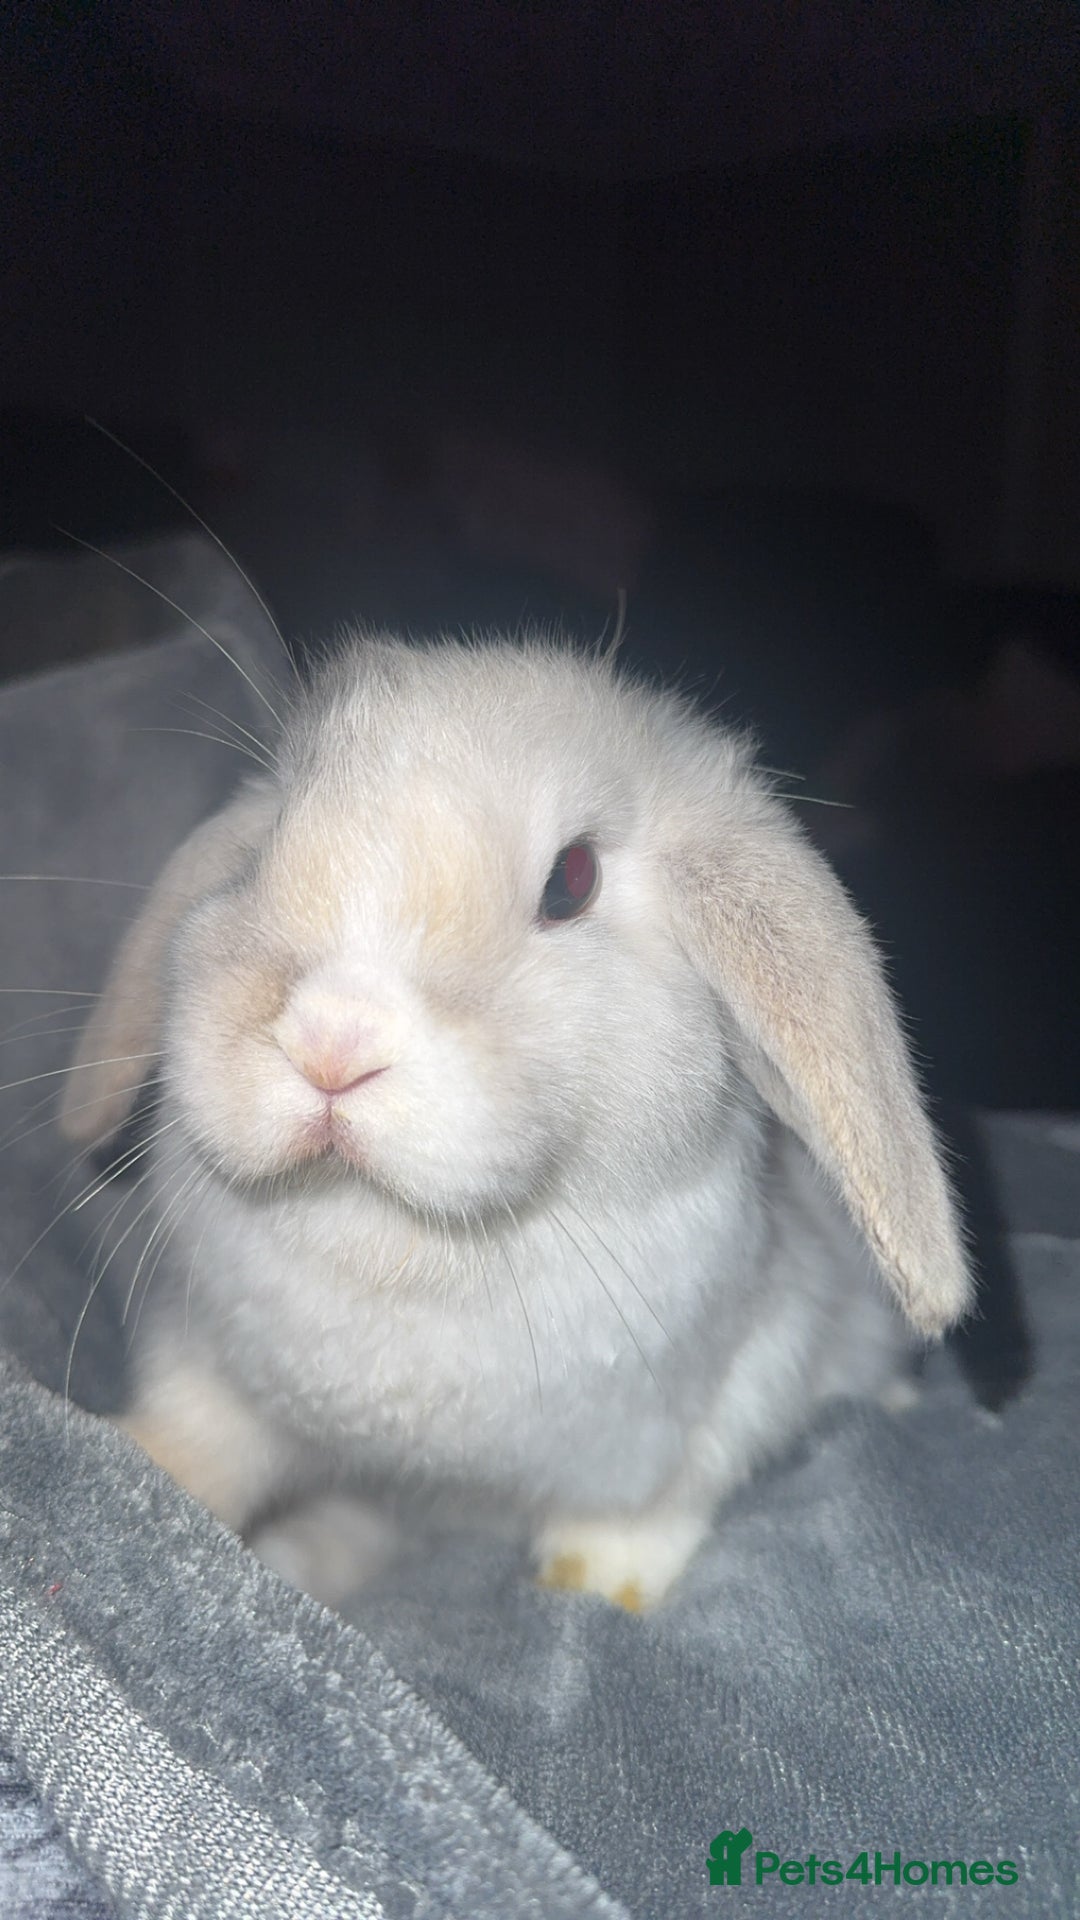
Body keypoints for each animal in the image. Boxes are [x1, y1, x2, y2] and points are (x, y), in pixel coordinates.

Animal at [59, 632, 971, 1611]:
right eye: (265, 845)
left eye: (572, 881)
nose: (330, 1041)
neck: (388, 1241)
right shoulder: (211, 1363)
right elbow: (201, 1436)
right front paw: (143, 1460)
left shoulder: (758, 1363)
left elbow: (667, 1495)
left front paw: (595, 1579)